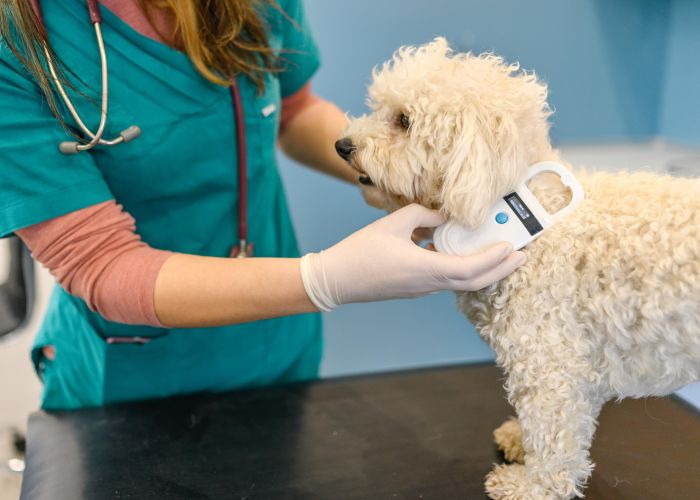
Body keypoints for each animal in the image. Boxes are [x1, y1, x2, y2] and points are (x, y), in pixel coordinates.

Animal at [338, 37, 700, 498]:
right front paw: (520, 441)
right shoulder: (578, 357)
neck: (538, 211)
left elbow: (554, 435)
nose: (342, 145)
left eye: (404, 120)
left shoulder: (550, 359)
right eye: (378, 107)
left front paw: (533, 486)